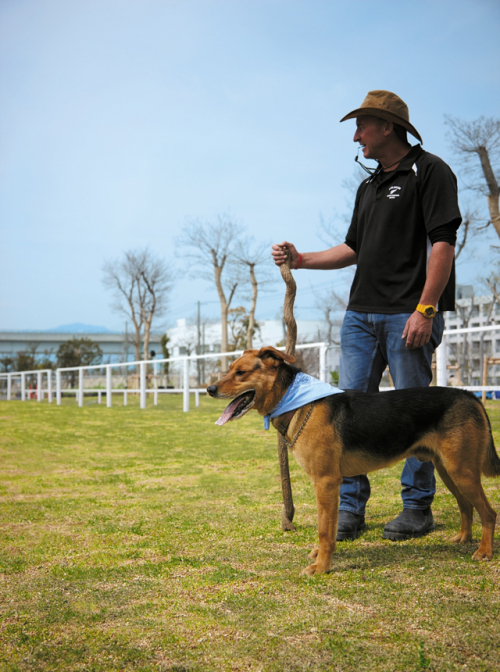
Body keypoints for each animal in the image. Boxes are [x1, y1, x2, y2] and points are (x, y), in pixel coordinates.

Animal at [207, 344, 500, 576]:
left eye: (240, 373)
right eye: (229, 369)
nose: (209, 389)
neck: (298, 402)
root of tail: (470, 395)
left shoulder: (326, 483)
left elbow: (325, 531)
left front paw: (322, 567)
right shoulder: (329, 487)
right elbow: (329, 527)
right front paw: (321, 557)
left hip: (461, 472)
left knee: (488, 512)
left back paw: (484, 551)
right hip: (450, 471)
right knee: (467, 506)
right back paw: (463, 538)